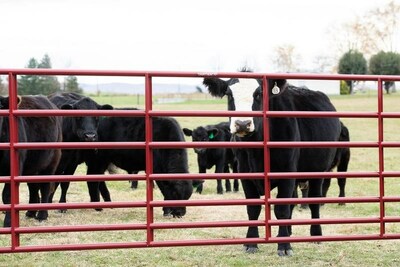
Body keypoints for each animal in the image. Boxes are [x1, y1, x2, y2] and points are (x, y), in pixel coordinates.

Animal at [0, 95, 61, 227]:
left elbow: (7, 195)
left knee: (45, 187)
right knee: (33, 187)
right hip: (32, 167)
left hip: (50, 163)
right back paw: (31, 212)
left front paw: (8, 222)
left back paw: (42, 215)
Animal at [203, 74, 340, 258]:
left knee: (314, 201)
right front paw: (251, 242)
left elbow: (281, 209)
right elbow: (253, 209)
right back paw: (288, 231)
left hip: (318, 172)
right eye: (229, 94)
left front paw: (284, 246)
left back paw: (316, 235)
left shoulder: (287, 173)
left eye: (258, 94)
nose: (242, 123)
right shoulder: (245, 173)